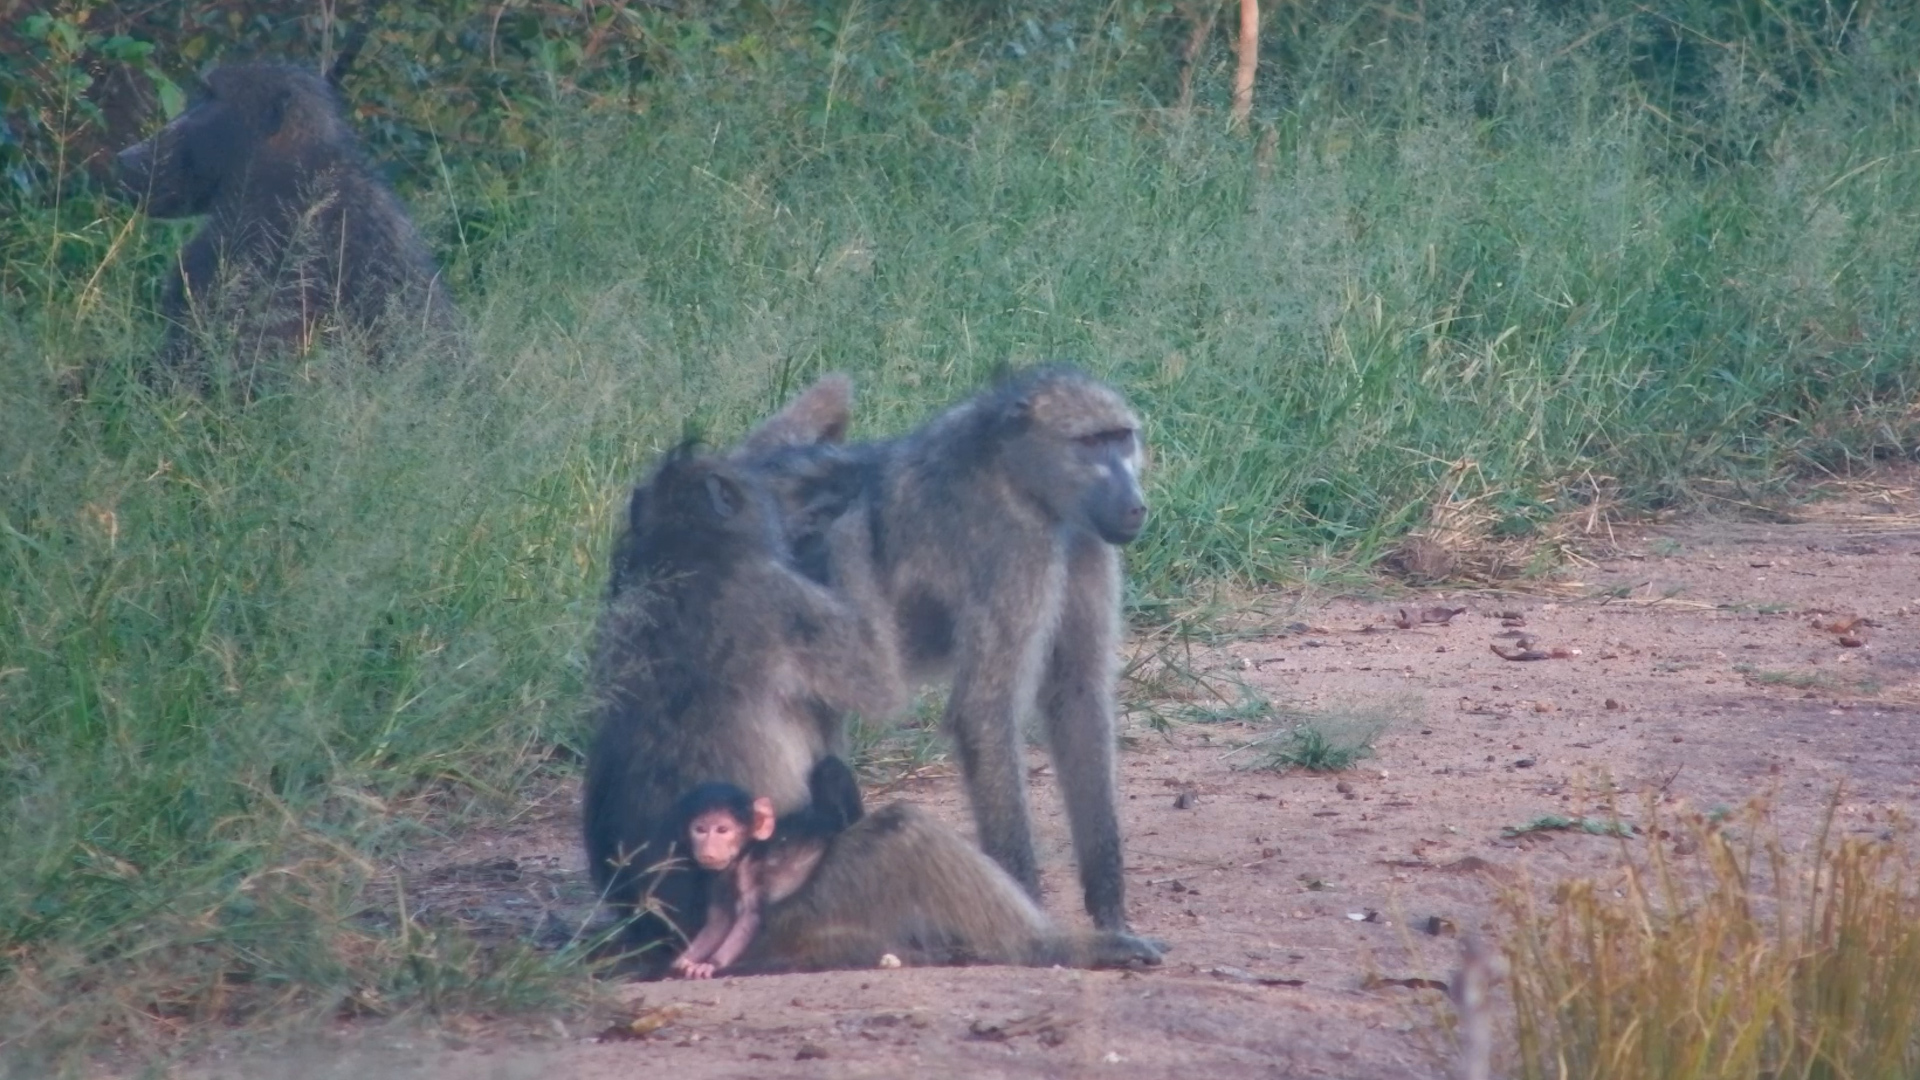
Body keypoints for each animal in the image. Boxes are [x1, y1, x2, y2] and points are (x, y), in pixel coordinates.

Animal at [665, 755, 865, 979]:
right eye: (700, 830)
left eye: (722, 830)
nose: (708, 848)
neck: (744, 854)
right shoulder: (718, 878)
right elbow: (717, 922)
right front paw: (683, 961)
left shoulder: (749, 872)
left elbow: (750, 916)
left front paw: (711, 964)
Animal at [736, 366, 1158, 953]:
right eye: (1091, 443)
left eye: (1122, 438)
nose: (1135, 504)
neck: (1015, 474)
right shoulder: (1015, 549)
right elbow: (984, 710)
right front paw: (1033, 921)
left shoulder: (1086, 543)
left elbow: (1076, 698)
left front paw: (1110, 912)